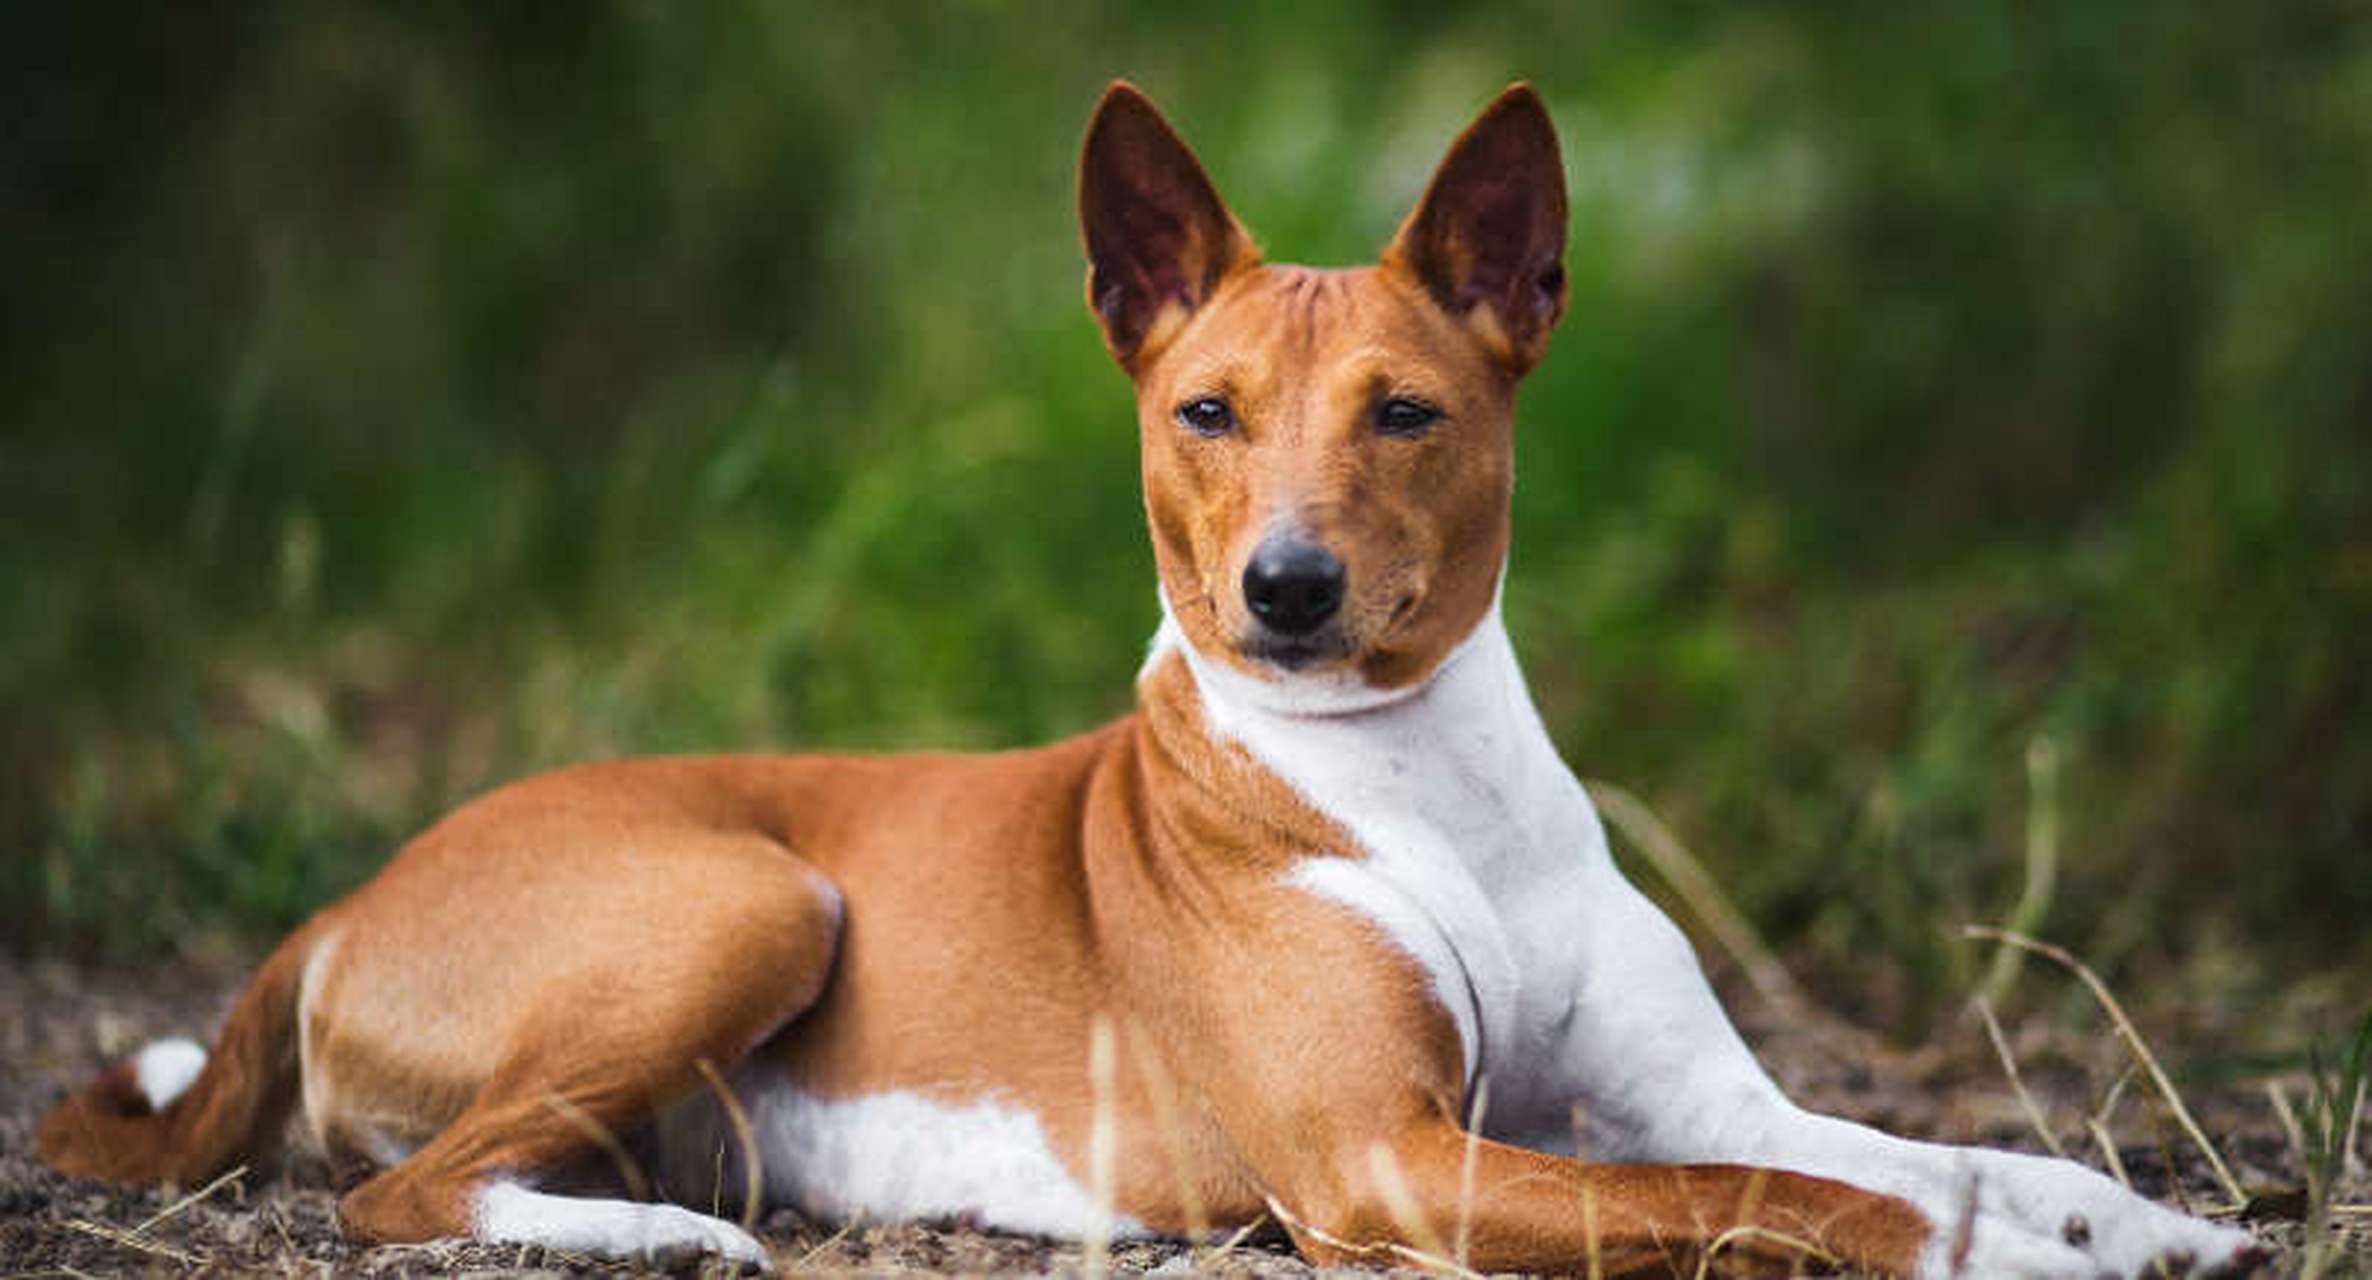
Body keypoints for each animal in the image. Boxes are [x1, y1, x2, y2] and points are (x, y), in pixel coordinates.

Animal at [37, 84, 2258, 1270]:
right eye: (1204, 412)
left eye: (1404, 414)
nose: (1283, 589)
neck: (1418, 785)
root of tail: (356, 890)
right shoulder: (1388, 1163)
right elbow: (1802, 1199)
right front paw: (2011, 1253)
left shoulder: (1685, 1091)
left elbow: (1924, 1150)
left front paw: (2134, 1220)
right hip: (752, 891)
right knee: (406, 1189)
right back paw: (677, 1241)